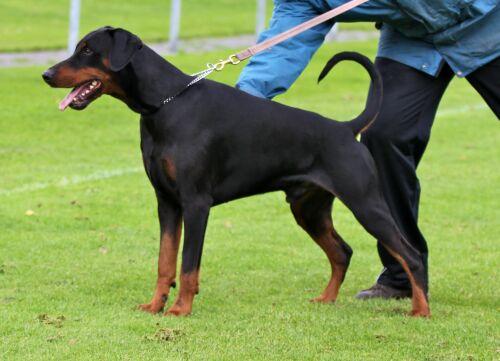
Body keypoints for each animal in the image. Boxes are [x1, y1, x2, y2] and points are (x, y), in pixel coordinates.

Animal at [43, 27, 430, 316]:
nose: (46, 74)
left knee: (410, 254)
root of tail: (345, 128)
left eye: (88, 50)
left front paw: (180, 310)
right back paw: (325, 299)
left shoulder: (196, 203)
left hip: (366, 203)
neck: (165, 105)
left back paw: (420, 311)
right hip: (308, 209)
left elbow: (188, 264)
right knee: (342, 252)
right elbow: (165, 262)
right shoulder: (166, 202)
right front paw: (154, 306)